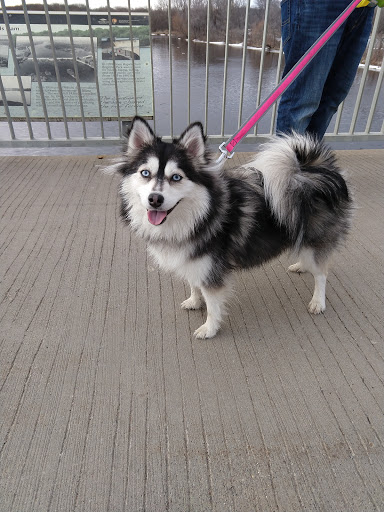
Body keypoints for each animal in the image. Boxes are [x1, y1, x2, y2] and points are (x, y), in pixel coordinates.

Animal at [106, 117, 352, 340]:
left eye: (176, 177)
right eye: (145, 173)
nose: (155, 199)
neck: (197, 216)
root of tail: (313, 171)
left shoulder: (211, 269)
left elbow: (213, 304)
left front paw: (210, 328)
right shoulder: (193, 259)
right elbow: (194, 284)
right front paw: (194, 301)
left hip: (316, 239)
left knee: (321, 273)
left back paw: (317, 301)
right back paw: (301, 265)